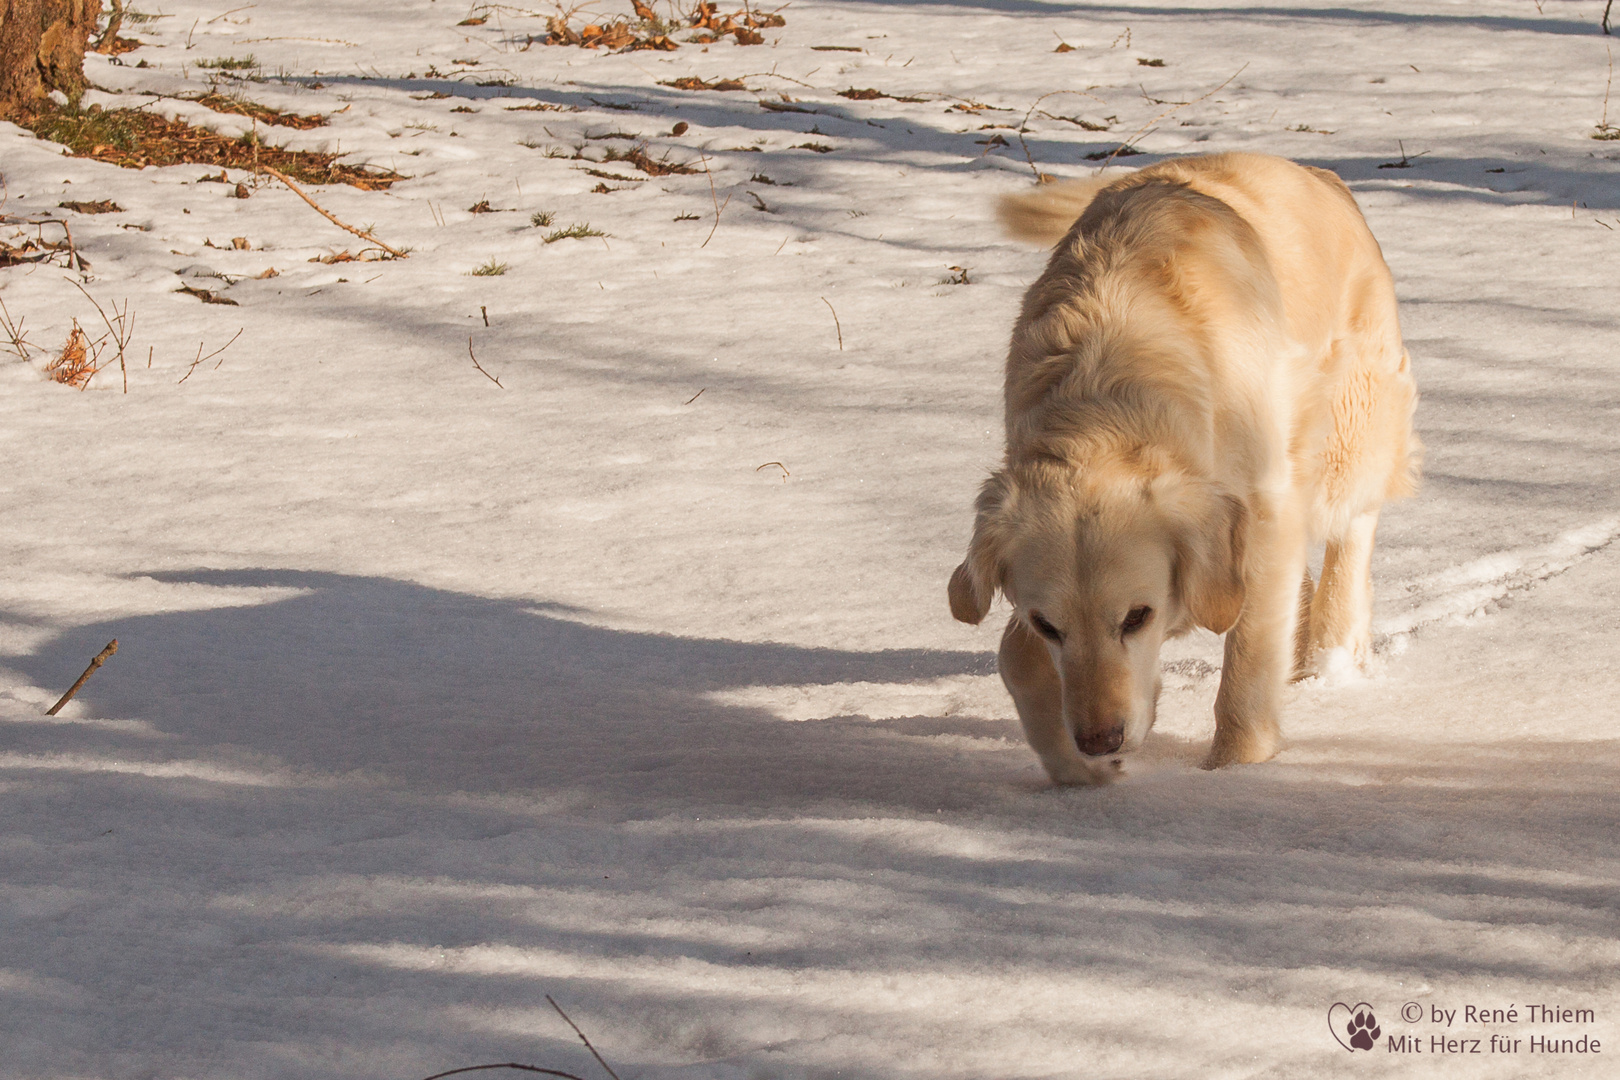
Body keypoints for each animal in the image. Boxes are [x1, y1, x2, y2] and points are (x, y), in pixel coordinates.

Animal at [946, 152, 1419, 786]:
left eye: (1137, 617)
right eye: (1049, 625)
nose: (1099, 739)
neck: (1108, 402)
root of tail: (1315, 171)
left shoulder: (1262, 512)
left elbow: (1247, 658)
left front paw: (1233, 770)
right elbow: (1015, 659)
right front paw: (1081, 774)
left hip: (1351, 417)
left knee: (1352, 529)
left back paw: (1333, 652)